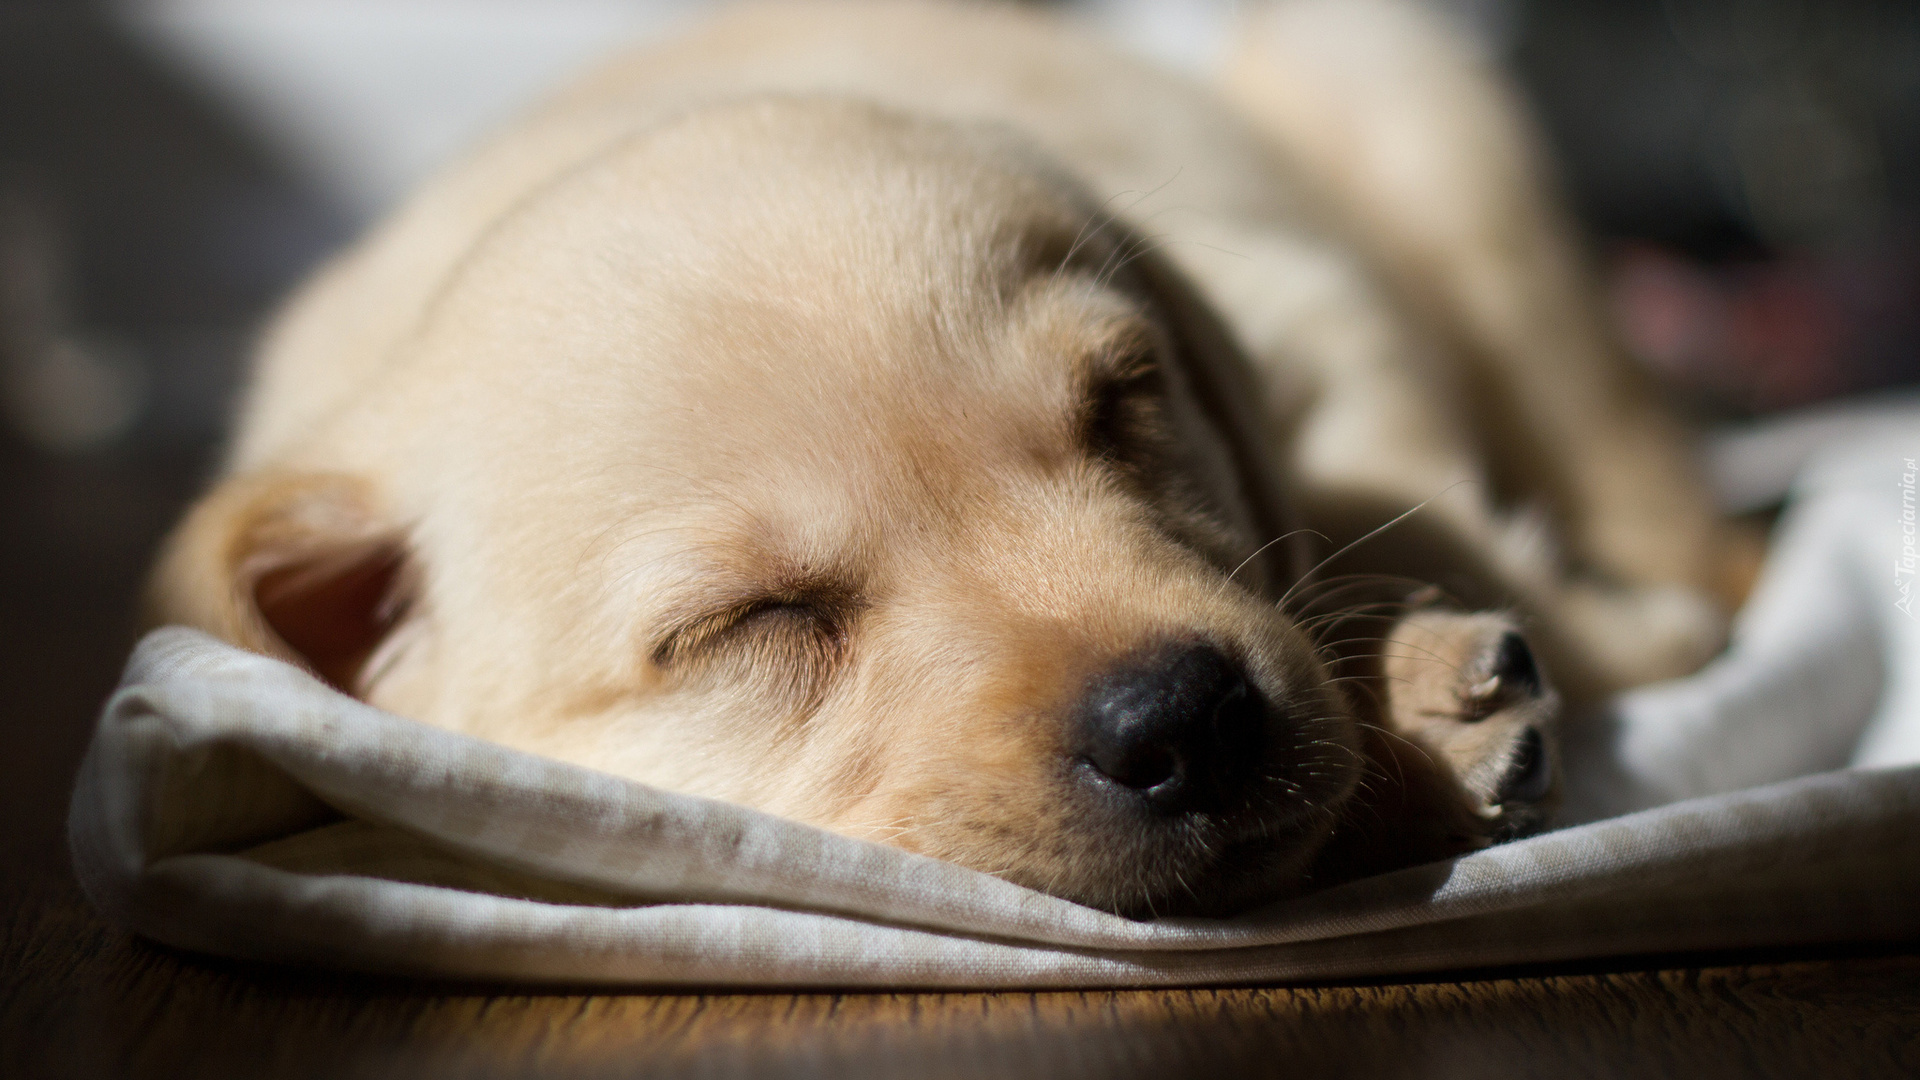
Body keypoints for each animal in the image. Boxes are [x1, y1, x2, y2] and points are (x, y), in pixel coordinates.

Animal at [145, 0, 1728, 910]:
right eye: (748, 623)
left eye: (1127, 406)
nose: (1186, 717)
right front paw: (1416, 741)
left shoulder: (1308, 310)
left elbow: (1400, 513)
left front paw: (1434, 693)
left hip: (1409, 112)